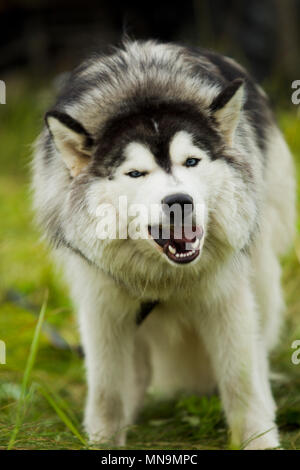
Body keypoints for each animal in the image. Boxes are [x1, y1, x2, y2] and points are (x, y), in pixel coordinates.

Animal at [32, 39, 296, 448]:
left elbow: (241, 379)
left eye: (192, 162)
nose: (178, 201)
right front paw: (104, 440)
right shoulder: (103, 304)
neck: (165, 277)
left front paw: (259, 440)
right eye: (135, 173)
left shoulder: (226, 297)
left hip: (263, 272)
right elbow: (107, 388)